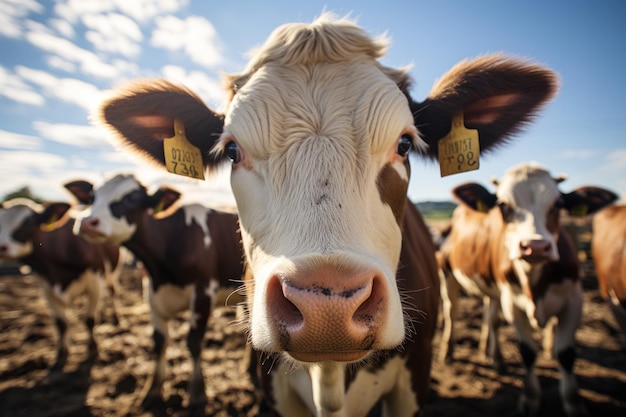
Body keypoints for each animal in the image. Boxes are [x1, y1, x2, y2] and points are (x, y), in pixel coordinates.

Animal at [0, 197, 122, 368]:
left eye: (28, 222)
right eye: (0, 221)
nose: (1, 247)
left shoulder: (95, 283)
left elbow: (90, 320)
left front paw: (93, 348)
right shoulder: (47, 289)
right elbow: (61, 324)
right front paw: (61, 354)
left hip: (113, 272)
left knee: (112, 292)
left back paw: (115, 317)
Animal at [64, 174, 244, 412]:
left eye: (131, 198)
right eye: (93, 196)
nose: (86, 222)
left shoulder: (204, 293)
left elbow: (194, 342)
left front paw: (197, 394)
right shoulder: (151, 295)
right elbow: (159, 342)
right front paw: (152, 391)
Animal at [436, 162, 616, 416]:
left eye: (559, 204)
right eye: (503, 205)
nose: (535, 246)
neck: (534, 281)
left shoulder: (574, 300)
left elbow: (566, 353)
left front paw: (573, 404)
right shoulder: (512, 303)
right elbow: (527, 352)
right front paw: (530, 400)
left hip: (492, 289)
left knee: (490, 317)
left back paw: (493, 355)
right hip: (447, 274)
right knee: (452, 312)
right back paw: (448, 352)